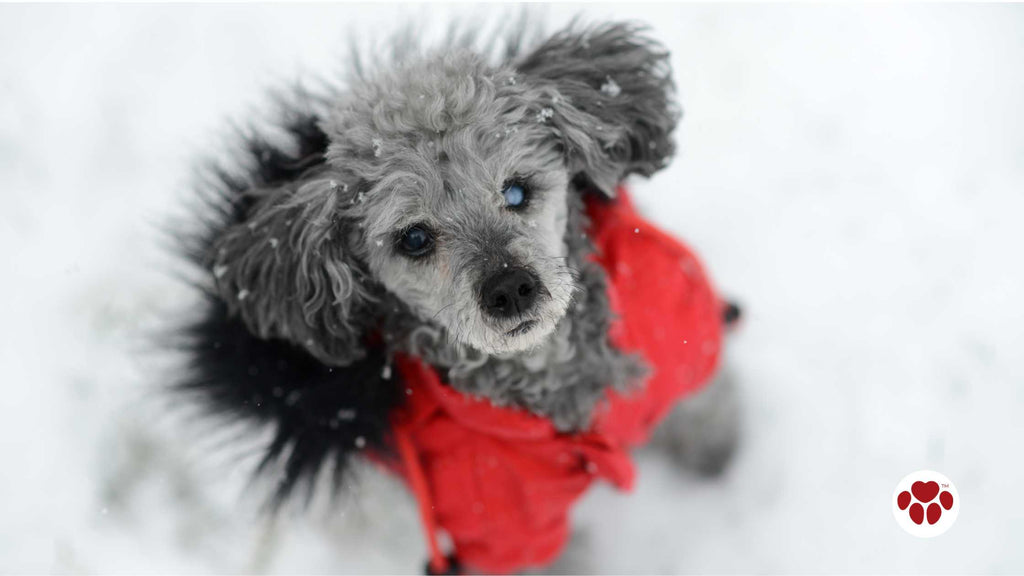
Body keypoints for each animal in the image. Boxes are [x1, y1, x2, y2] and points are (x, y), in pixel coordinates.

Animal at [174, 19, 737, 573]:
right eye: (414, 238)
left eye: (517, 190)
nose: (510, 290)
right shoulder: (504, 532)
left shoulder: (681, 329)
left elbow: (706, 393)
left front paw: (717, 443)